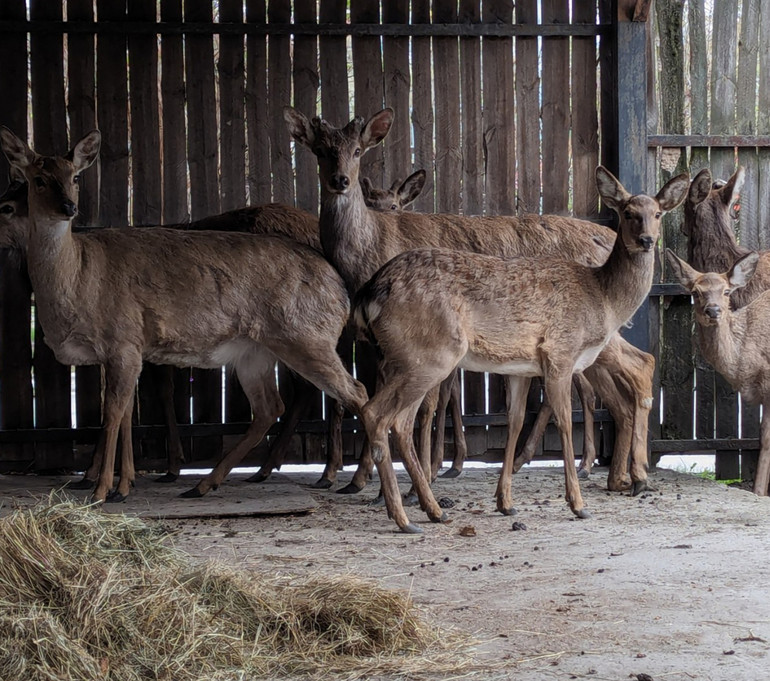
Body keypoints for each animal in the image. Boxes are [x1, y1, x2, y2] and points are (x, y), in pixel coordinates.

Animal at [352, 166, 688, 532]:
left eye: (658, 214)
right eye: (628, 213)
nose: (647, 240)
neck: (603, 298)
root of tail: (370, 292)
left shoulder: (521, 368)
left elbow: (514, 422)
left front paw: (505, 503)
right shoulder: (560, 352)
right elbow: (564, 421)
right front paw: (577, 504)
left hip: (410, 360)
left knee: (397, 421)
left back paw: (431, 510)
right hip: (428, 356)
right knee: (378, 414)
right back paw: (404, 517)